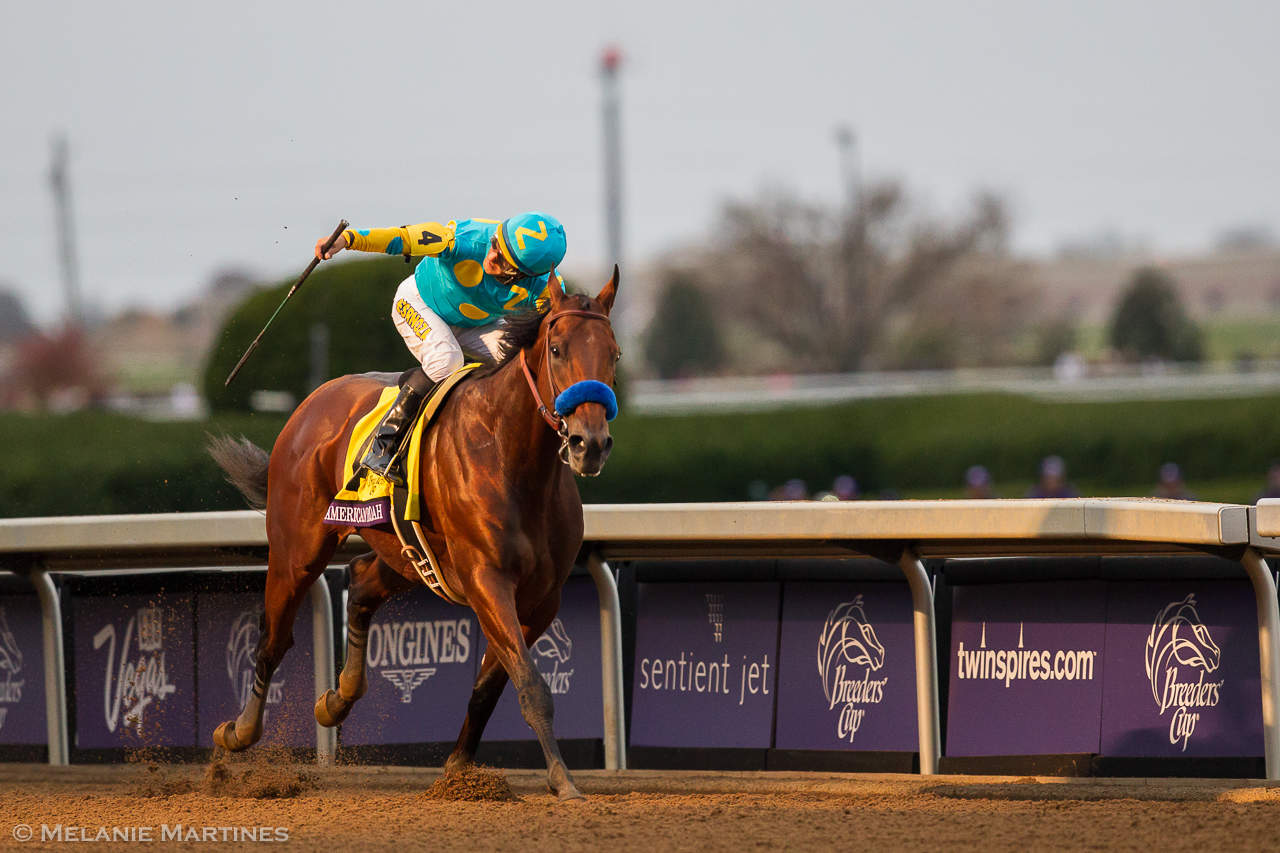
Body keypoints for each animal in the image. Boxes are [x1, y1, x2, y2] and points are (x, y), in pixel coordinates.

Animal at [208, 269, 620, 800]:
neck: (511, 455)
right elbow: (530, 684)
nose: (590, 444)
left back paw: (337, 699)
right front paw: (563, 780)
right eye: (557, 349)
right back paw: (238, 731)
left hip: (409, 555)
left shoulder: (541, 599)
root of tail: (311, 404)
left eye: (614, 354)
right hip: (297, 550)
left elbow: (492, 683)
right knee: (274, 637)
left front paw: (459, 769)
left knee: (362, 581)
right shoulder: (487, 580)